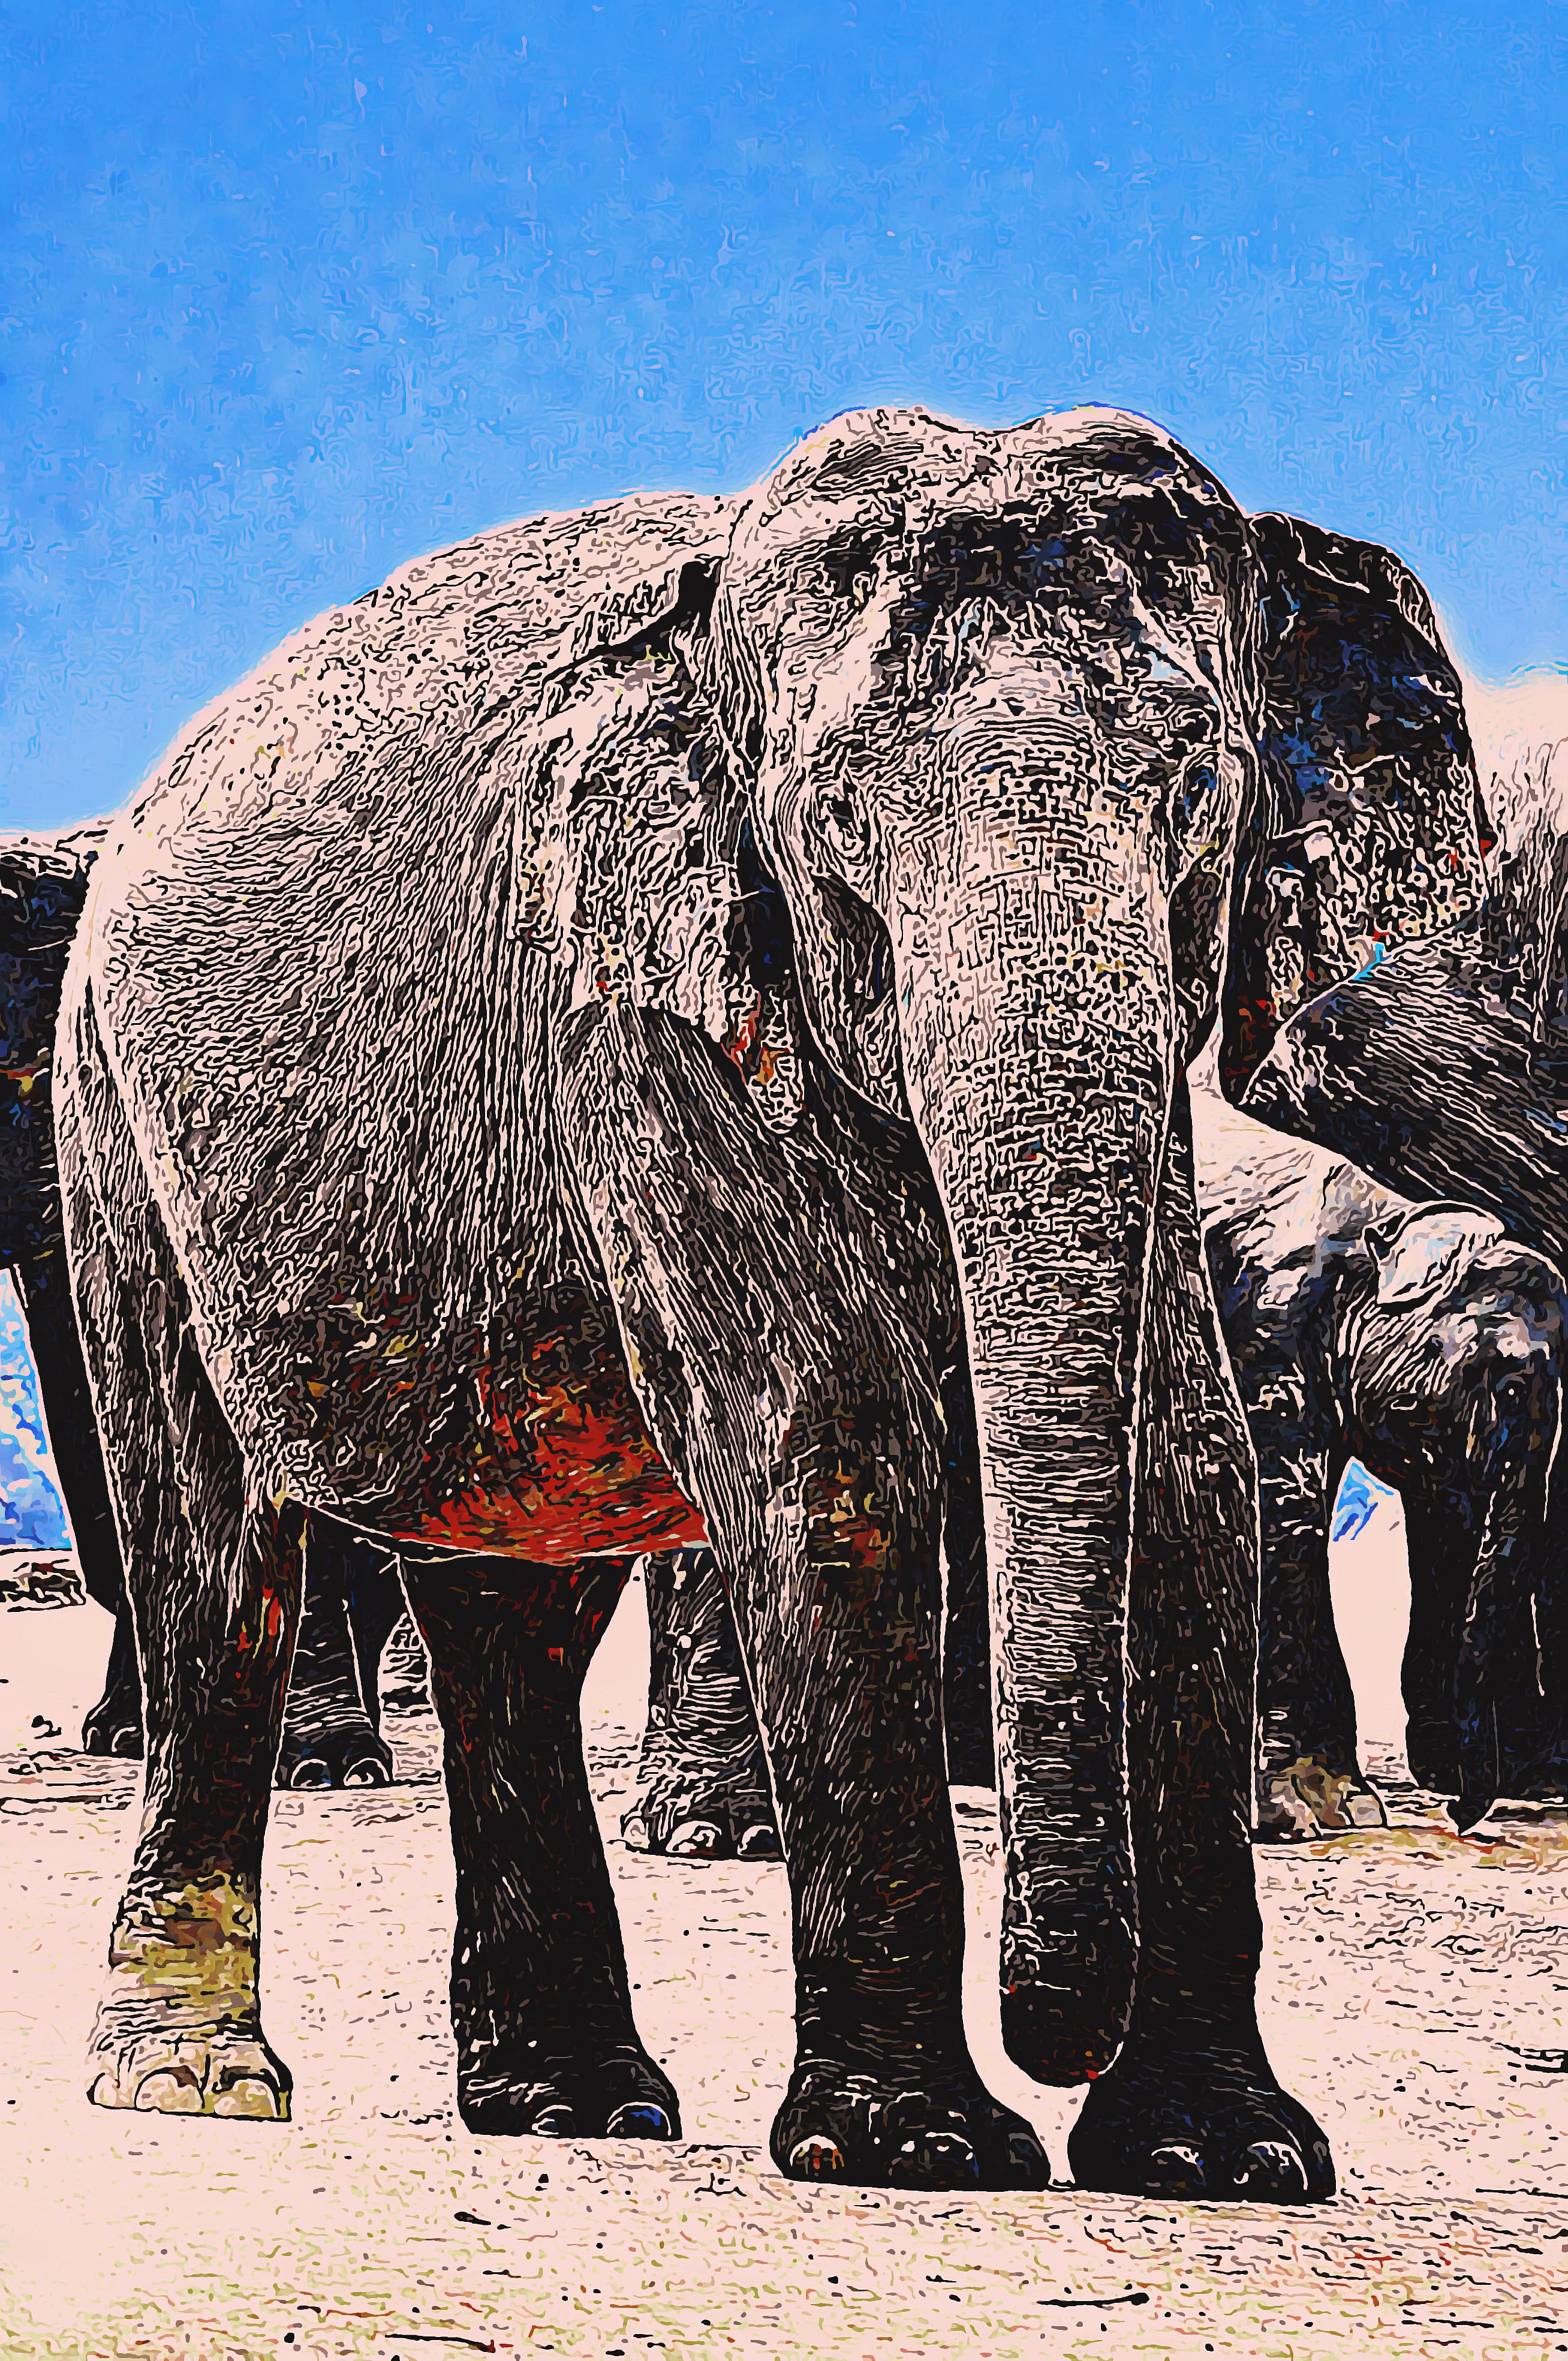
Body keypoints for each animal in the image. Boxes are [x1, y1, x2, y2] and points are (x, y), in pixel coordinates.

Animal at [52, 405, 1494, 2197]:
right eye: (837, 837)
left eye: (1196, 805)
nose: (1054, 2041)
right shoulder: (644, 1003)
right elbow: (834, 1448)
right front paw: (914, 2149)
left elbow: (1187, 1472)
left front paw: (1216, 2157)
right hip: (109, 1126)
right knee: (213, 1563)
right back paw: (192, 2081)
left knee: (513, 1604)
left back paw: (574, 2101)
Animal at [1196, 1086, 1567, 1839]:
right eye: (1511, 1386)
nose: (1459, 1816)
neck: (1387, 1220)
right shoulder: (1265, 1321)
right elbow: (1286, 1508)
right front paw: (1325, 1811)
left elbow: (1448, 1517)